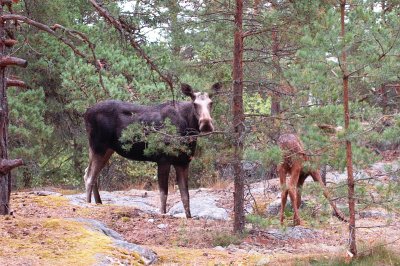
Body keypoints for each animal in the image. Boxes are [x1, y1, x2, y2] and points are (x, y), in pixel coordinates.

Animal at [83, 82, 220, 217]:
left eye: (211, 103)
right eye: (195, 104)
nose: (206, 124)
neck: (188, 131)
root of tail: (86, 113)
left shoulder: (183, 162)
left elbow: (186, 196)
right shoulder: (163, 159)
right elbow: (164, 194)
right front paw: (162, 213)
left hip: (107, 149)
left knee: (91, 174)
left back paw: (99, 203)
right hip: (98, 146)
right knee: (89, 177)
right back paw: (88, 204)